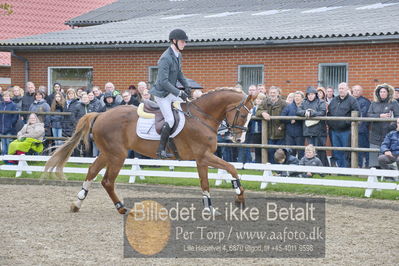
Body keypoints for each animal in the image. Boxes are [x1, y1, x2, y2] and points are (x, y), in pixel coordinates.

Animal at [44, 89, 256, 214]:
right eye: (242, 115)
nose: (239, 140)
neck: (201, 117)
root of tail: (101, 114)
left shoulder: (201, 159)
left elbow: (205, 183)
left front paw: (209, 208)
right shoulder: (204, 156)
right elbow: (232, 168)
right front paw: (239, 196)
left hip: (107, 153)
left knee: (92, 171)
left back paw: (77, 203)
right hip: (118, 155)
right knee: (107, 181)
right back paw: (122, 208)